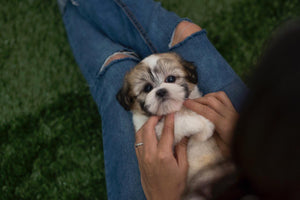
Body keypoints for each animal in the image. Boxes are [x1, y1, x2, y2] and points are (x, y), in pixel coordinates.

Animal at [116, 52, 224, 181]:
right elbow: (180, 122)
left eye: (171, 79)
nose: (161, 91)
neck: (175, 109)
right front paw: (203, 124)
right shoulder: (154, 132)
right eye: (147, 88)